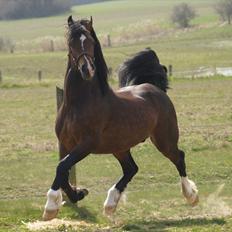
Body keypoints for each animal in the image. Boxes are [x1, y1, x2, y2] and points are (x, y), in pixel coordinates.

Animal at [42, 16, 198, 221]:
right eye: (71, 42)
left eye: (90, 41)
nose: (87, 69)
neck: (78, 104)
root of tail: (155, 88)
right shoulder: (65, 143)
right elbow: (63, 171)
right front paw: (78, 193)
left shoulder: (86, 144)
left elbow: (62, 167)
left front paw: (51, 207)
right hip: (120, 147)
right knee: (131, 169)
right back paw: (110, 204)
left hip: (164, 140)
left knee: (179, 157)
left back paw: (191, 196)